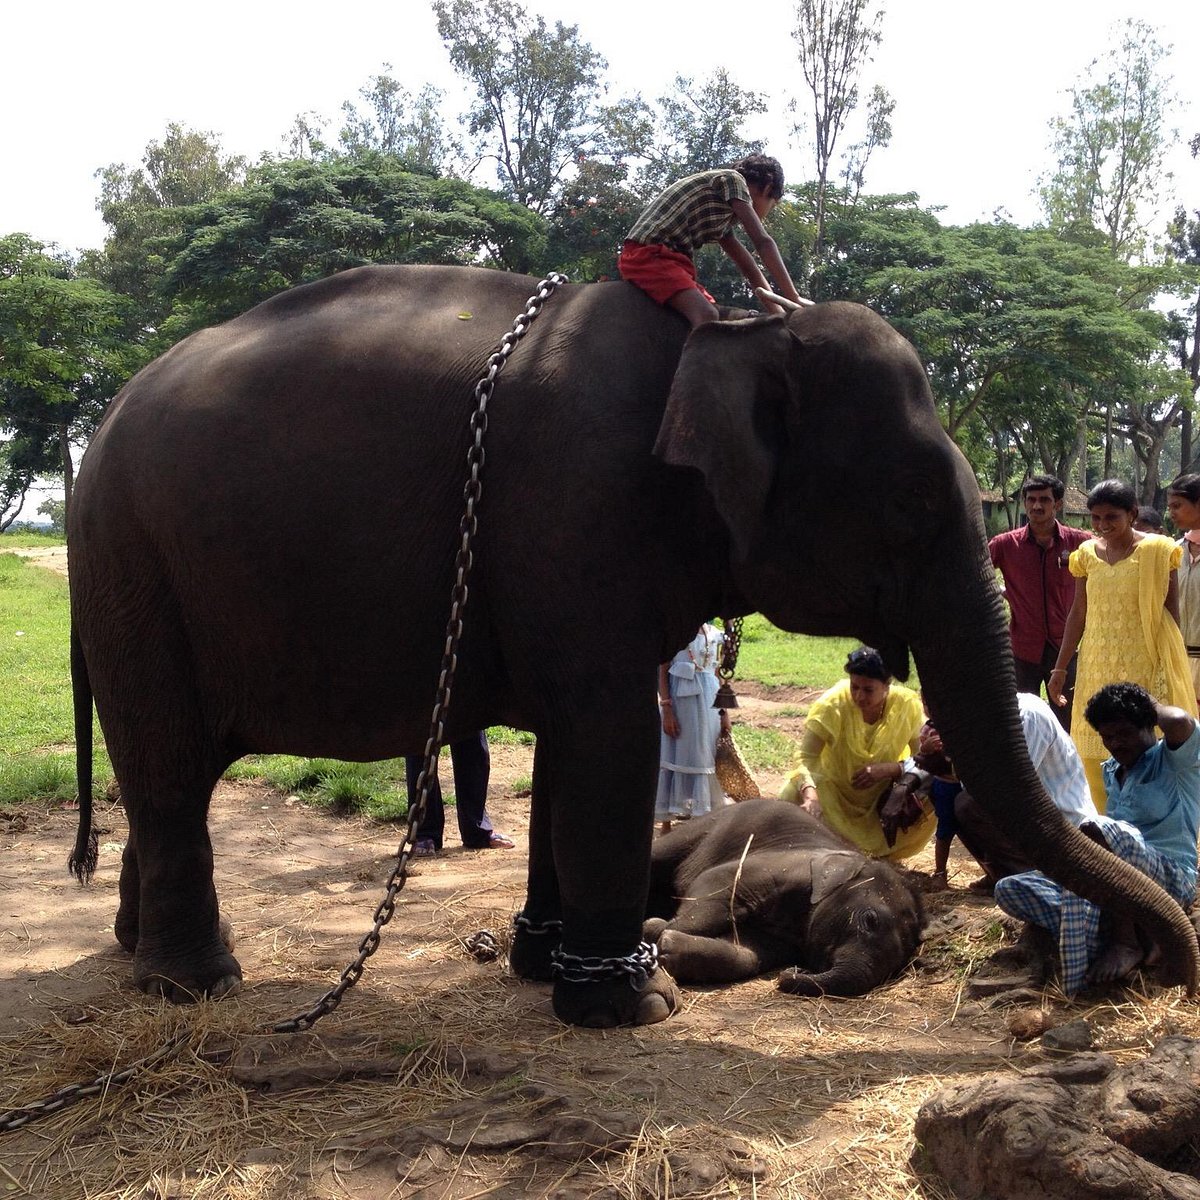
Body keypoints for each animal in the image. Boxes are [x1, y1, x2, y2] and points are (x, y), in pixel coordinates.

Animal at [648, 796, 926, 993]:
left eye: (896, 968)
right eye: (869, 920)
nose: (791, 972)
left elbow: (748, 952)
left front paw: (666, 944)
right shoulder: (789, 865)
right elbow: (719, 882)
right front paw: (655, 929)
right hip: (702, 828)